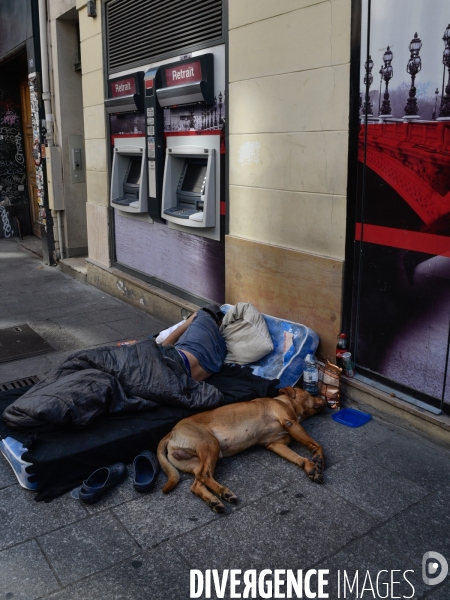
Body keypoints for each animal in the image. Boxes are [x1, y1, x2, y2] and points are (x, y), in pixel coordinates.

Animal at [158, 390, 326, 510]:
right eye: (310, 393)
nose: (324, 397)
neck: (283, 400)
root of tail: (171, 432)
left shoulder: (276, 444)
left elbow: (298, 457)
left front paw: (309, 467)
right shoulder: (290, 422)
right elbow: (315, 444)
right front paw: (318, 458)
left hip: (196, 461)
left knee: (196, 484)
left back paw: (214, 501)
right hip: (211, 444)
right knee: (203, 475)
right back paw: (224, 492)